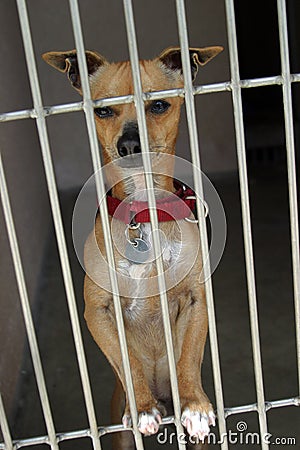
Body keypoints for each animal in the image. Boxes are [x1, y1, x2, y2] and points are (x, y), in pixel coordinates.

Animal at [44, 43, 223, 450]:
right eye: (103, 110)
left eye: (158, 106)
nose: (129, 144)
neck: (143, 210)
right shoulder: (97, 312)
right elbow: (127, 362)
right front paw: (142, 407)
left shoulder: (197, 301)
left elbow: (189, 356)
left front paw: (193, 403)